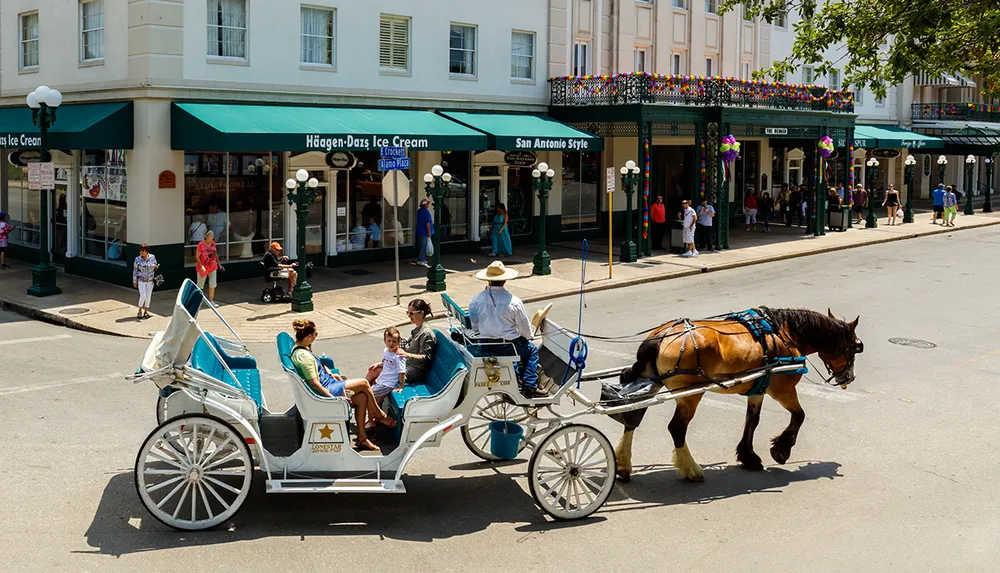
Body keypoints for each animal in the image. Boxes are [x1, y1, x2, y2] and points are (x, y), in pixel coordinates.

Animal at [616, 306, 860, 480]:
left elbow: (752, 420)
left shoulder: (759, 388)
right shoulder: (783, 389)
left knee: (631, 419)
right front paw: (781, 450)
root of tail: (659, 336)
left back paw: (623, 465)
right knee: (677, 428)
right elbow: (799, 416)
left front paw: (748, 456)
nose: (849, 378)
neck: (783, 334)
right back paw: (690, 469)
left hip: (649, 383)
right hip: (690, 394)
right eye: (856, 347)